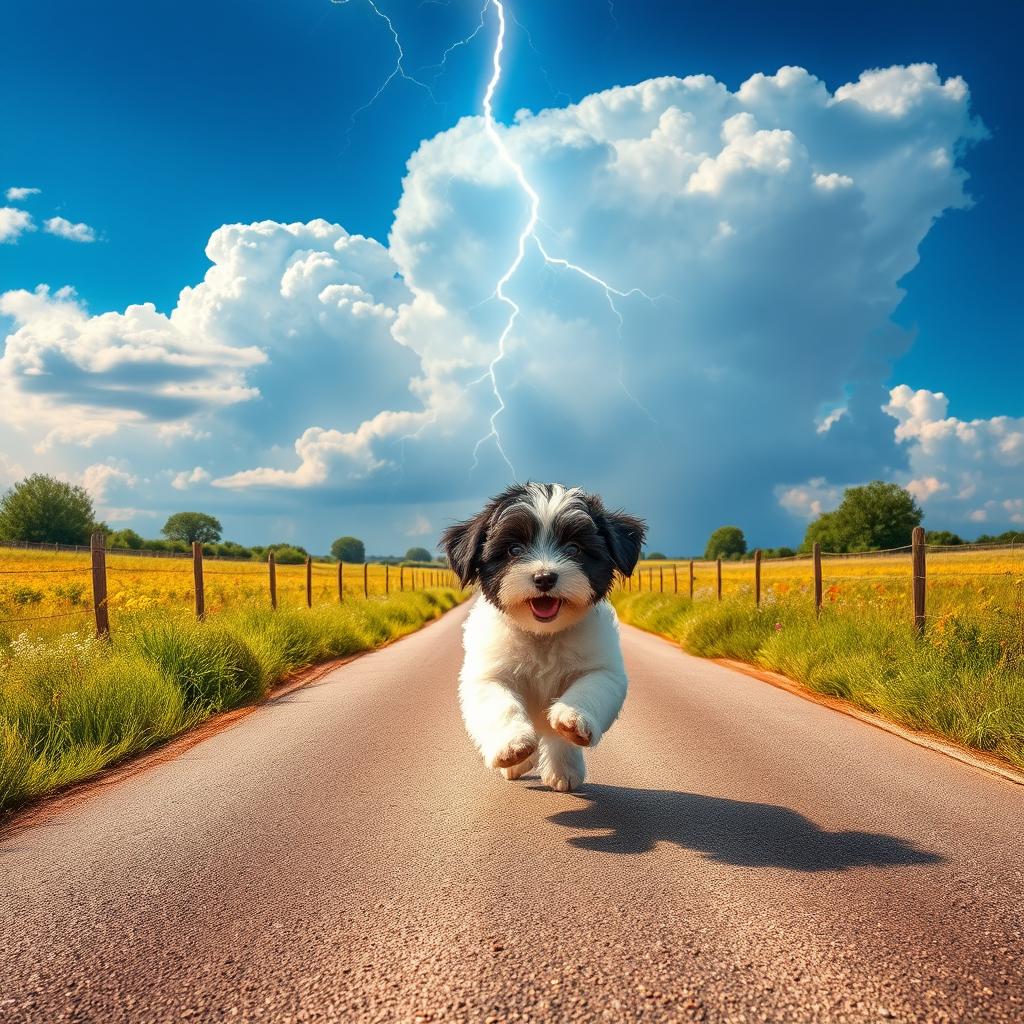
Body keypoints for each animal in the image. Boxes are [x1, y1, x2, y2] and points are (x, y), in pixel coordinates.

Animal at [442, 479, 647, 790]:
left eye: (574, 548)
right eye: (514, 550)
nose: (544, 578)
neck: (543, 635)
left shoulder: (603, 670)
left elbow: (587, 690)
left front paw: (572, 719)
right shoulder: (488, 673)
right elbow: (500, 705)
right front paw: (511, 746)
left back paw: (564, 769)